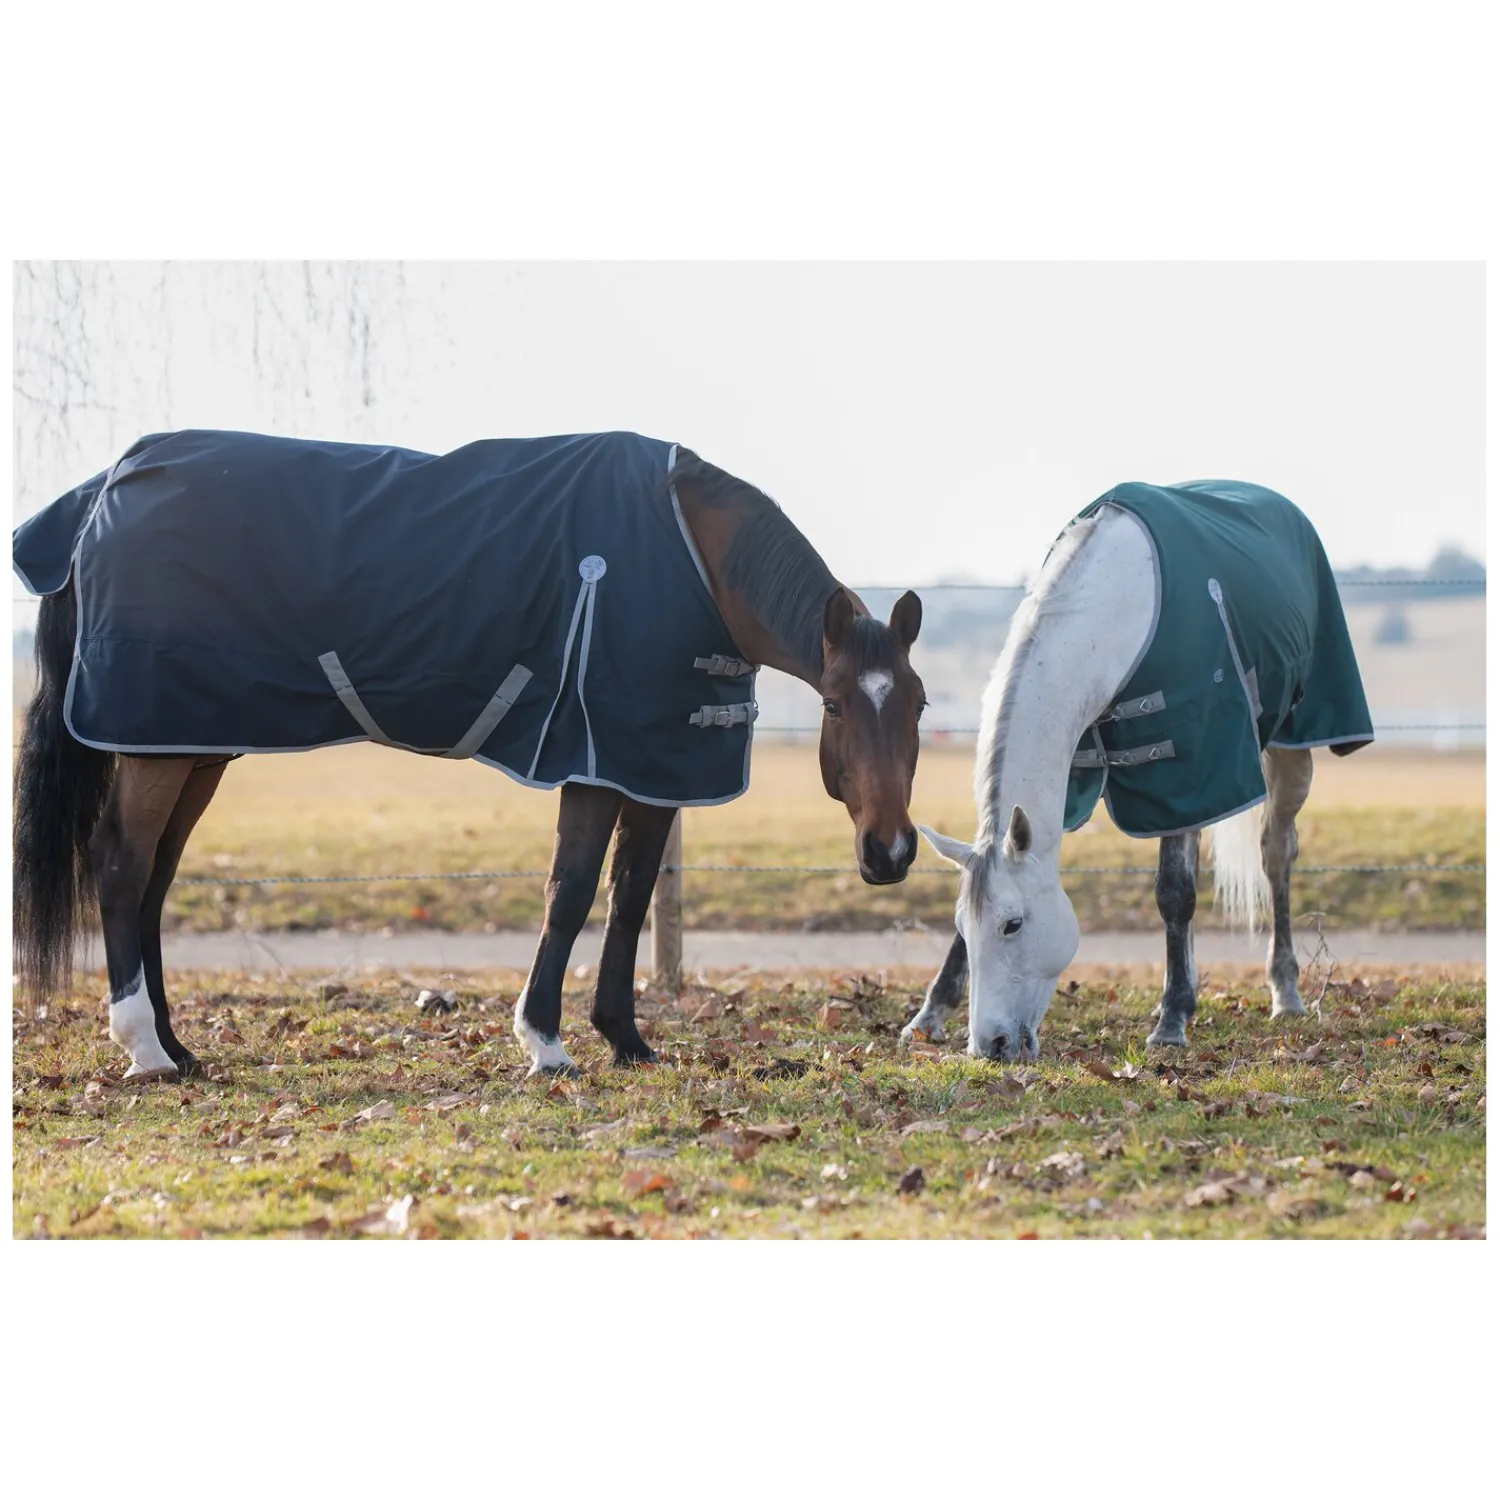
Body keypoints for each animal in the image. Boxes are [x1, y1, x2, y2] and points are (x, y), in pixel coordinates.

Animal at [13, 430, 927, 1078]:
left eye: (917, 705)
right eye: (836, 704)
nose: (890, 852)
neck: (694, 555)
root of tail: (100, 495)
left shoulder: (655, 764)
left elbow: (630, 895)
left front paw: (626, 1040)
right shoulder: (593, 760)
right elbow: (571, 889)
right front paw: (546, 1043)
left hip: (191, 743)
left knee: (156, 880)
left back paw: (181, 1046)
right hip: (156, 746)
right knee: (121, 864)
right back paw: (145, 1049)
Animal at [903, 479, 1373, 1061]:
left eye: (1013, 925)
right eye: (964, 928)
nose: (991, 1044)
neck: (1114, 615)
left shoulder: (1189, 768)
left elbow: (1175, 893)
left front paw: (1171, 1022)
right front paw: (930, 1013)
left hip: (1290, 746)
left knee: (1276, 853)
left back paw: (1284, 991)